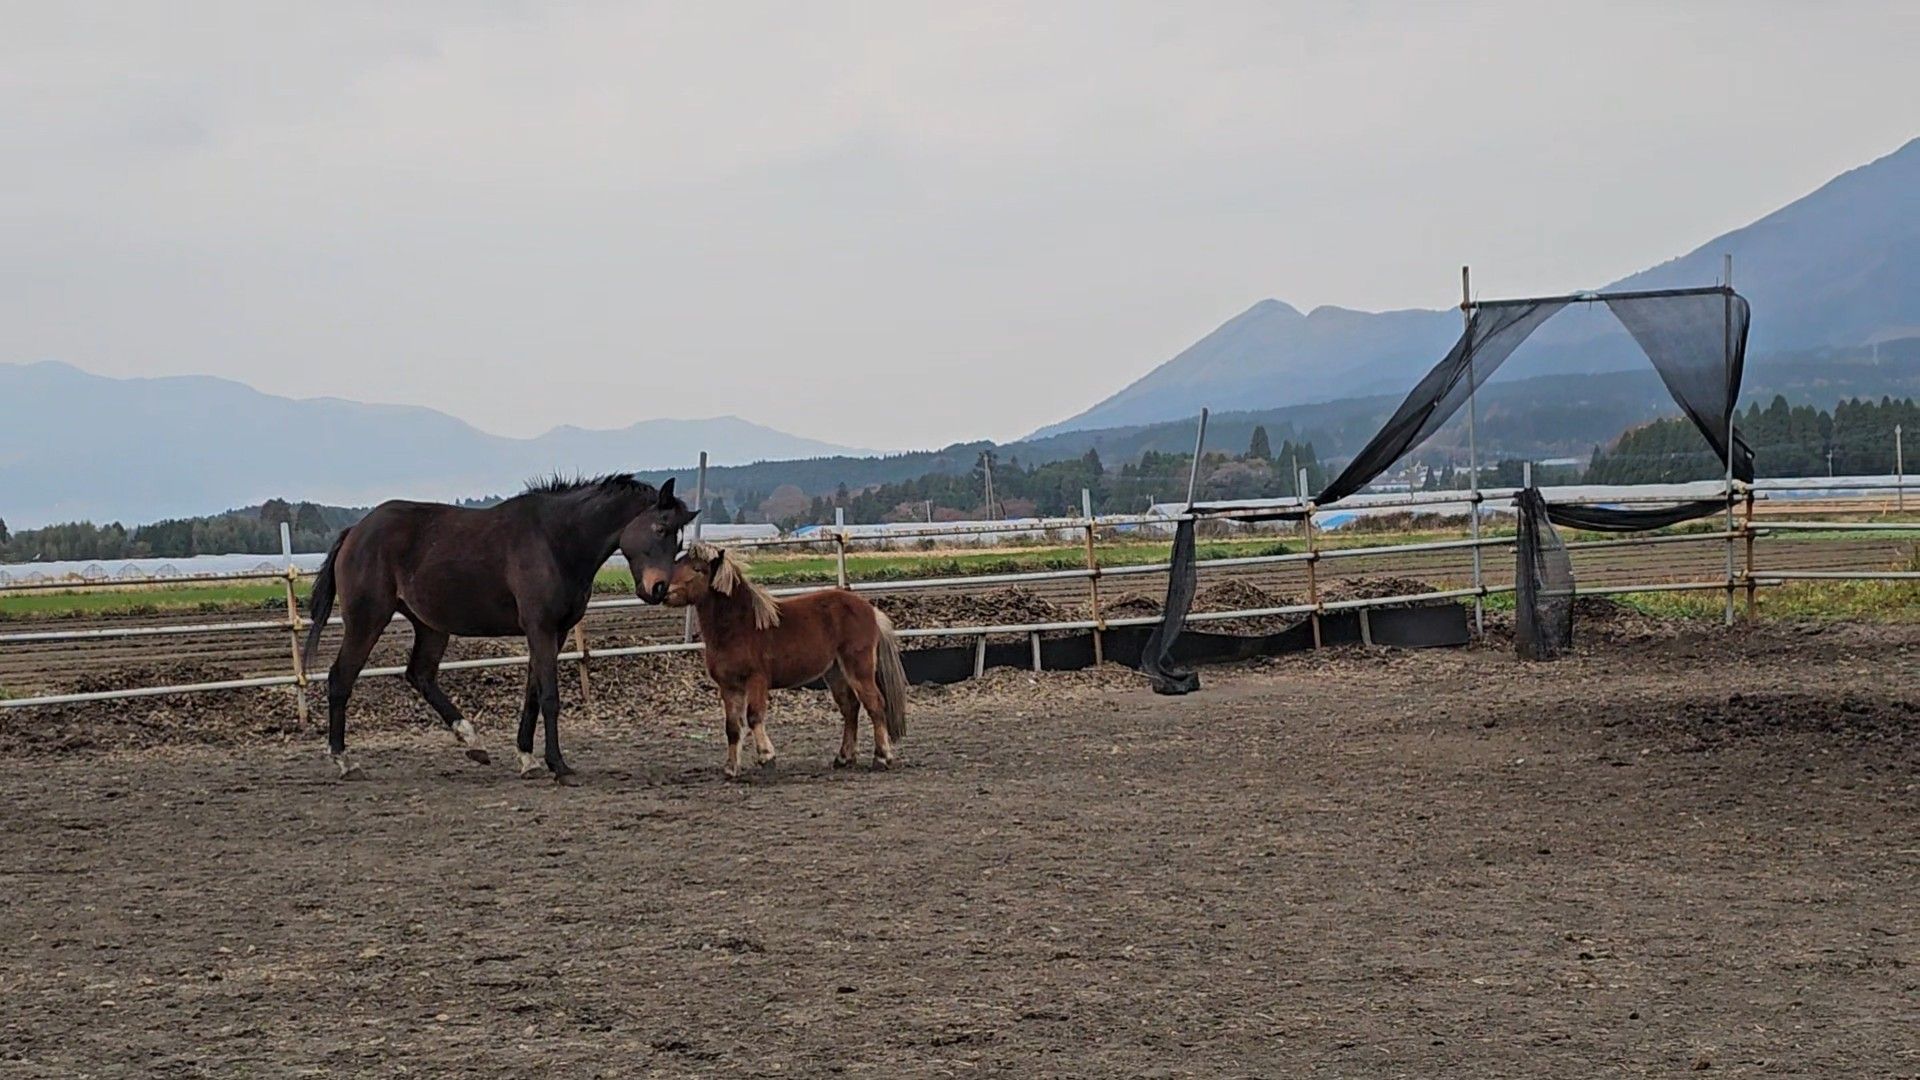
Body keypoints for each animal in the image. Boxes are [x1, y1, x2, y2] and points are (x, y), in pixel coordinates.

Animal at [303, 474, 696, 783]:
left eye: (678, 539)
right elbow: (550, 697)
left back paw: (472, 741)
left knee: (420, 675)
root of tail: (356, 531)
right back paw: (345, 761)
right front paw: (559, 766)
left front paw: (528, 759)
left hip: (430, 626)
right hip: (367, 620)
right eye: (659, 528)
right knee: (341, 678)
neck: (555, 540)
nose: (659, 589)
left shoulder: (556, 632)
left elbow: (533, 694)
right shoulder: (540, 627)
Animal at [662, 543, 908, 779]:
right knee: (850, 708)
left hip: (859, 669)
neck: (739, 626)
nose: (663, 592)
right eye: (678, 563)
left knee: (875, 705)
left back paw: (881, 758)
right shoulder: (729, 686)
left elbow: (754, 716)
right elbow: (732, 726)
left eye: (698, 569)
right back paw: (844, 758)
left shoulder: (756, 680)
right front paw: (731, 769)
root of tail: (871, 611)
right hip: (835, 672)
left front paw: (766, 758)